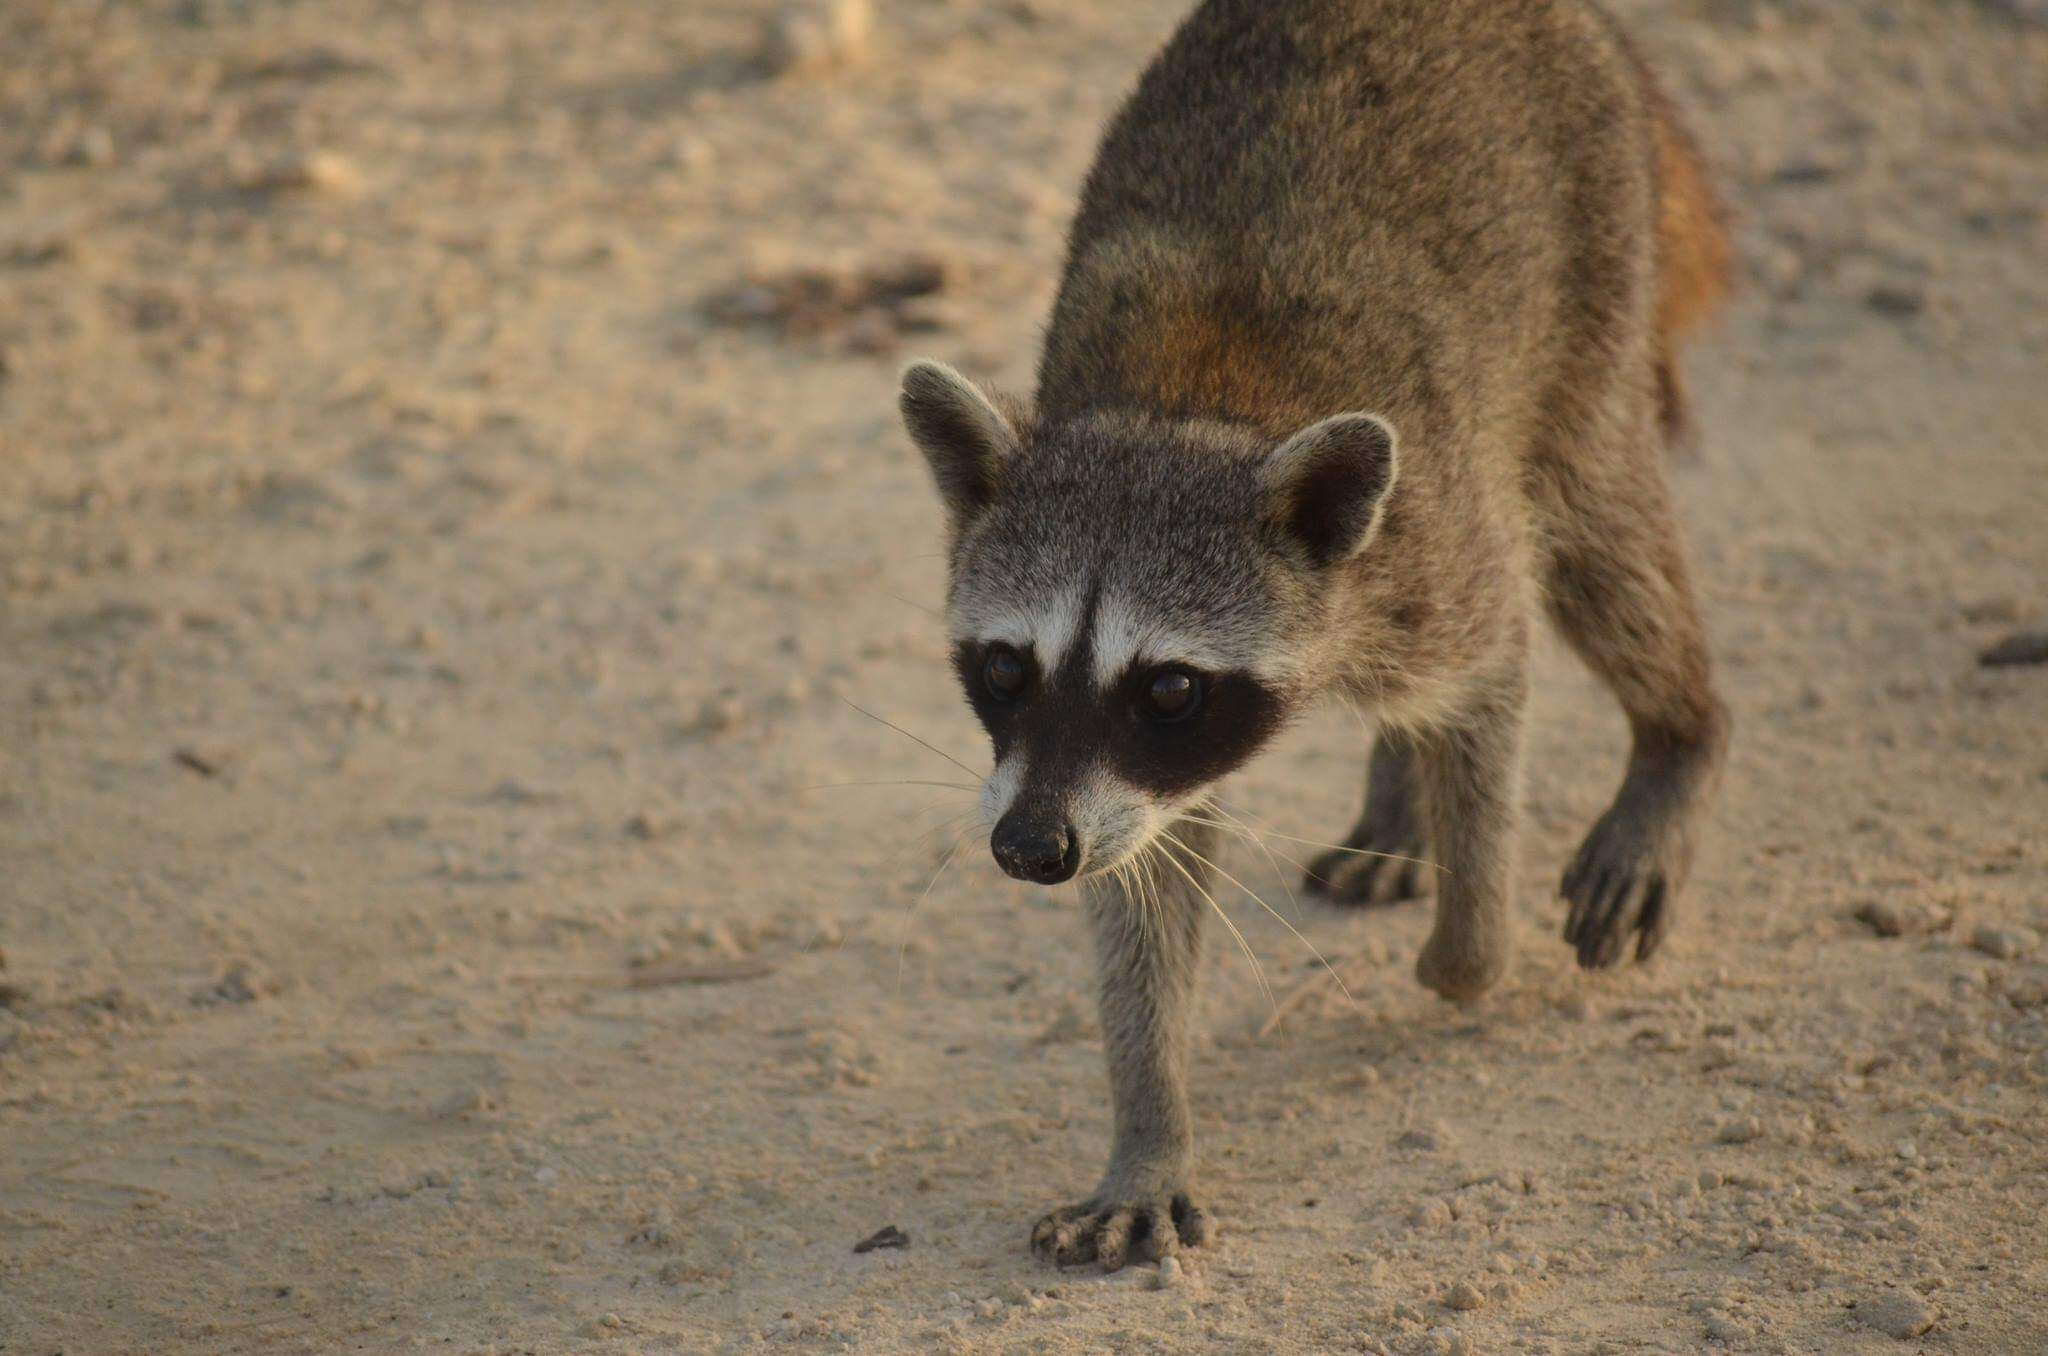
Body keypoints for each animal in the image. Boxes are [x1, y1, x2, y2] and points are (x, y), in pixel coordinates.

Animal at [897, 0, 1728, 1278]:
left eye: (1169, 688)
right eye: (1002, 668)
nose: (1027, 851)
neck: (1184, 408)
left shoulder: (1435, 536)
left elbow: (1491, 668)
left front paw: (1466, 945)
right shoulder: (1106, 779)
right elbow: (1142, 875)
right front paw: (1148, 1130)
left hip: (1590, 272)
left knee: (1597, 535)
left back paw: (1678, 737)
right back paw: (1400, 793)